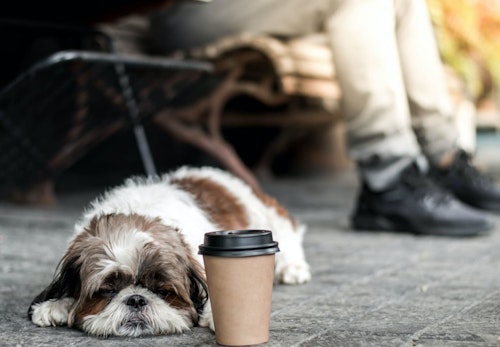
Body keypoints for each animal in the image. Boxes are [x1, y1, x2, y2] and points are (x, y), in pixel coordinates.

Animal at [27, 167, 310, 338]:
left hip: (266, 215)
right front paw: (56, 304)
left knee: (287, 236)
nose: (136, 299)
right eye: (107, 291)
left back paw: (292, 268)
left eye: (163, 291)